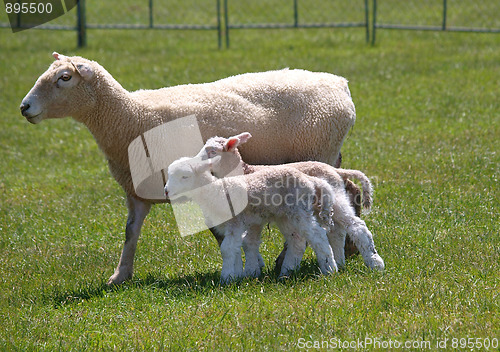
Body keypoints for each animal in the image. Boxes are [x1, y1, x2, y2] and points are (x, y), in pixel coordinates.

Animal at [166, 155, 338, 282]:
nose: (166, 191)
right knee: (296, 241)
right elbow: (235, 248)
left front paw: (225, 279)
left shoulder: (235, 222)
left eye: (185, 176)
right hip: (284, 215)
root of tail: (311, 180)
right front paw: (235, 276)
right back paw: (286, 273)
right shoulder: (231, 225)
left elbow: (227, 249)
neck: (217, 192)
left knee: (318, 235)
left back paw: (330, 269)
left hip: (299, 210)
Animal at [197, 133, 384, 274]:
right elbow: (249, 242)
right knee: (337, 231)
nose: (196, 164)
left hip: (335, 198)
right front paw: (253, 270)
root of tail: (335, 170)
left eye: (212, 151)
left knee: (356, 226)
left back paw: (374, 263)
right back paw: (339, 262)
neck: (243, 172)